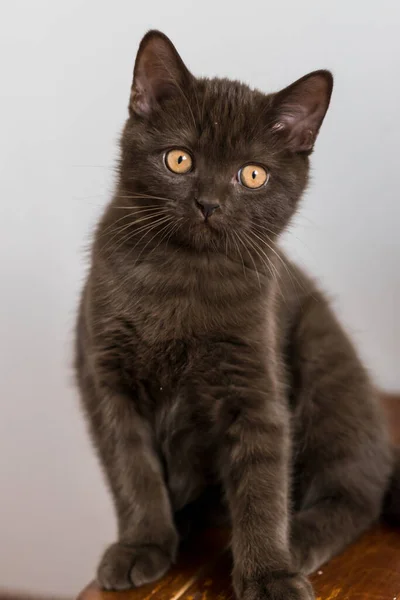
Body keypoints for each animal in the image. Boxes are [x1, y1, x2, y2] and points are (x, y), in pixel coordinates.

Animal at [74, 31, 396, 600]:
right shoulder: (106, 374)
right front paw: (142, 545)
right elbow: (132, 469)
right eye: (180, 160)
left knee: (356, 491)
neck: (183, 276)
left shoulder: (254, 383)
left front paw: (269, 573)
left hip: (327, 366)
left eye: (252, 175)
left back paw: (298, 539)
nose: (209, 203)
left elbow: (263, 482)